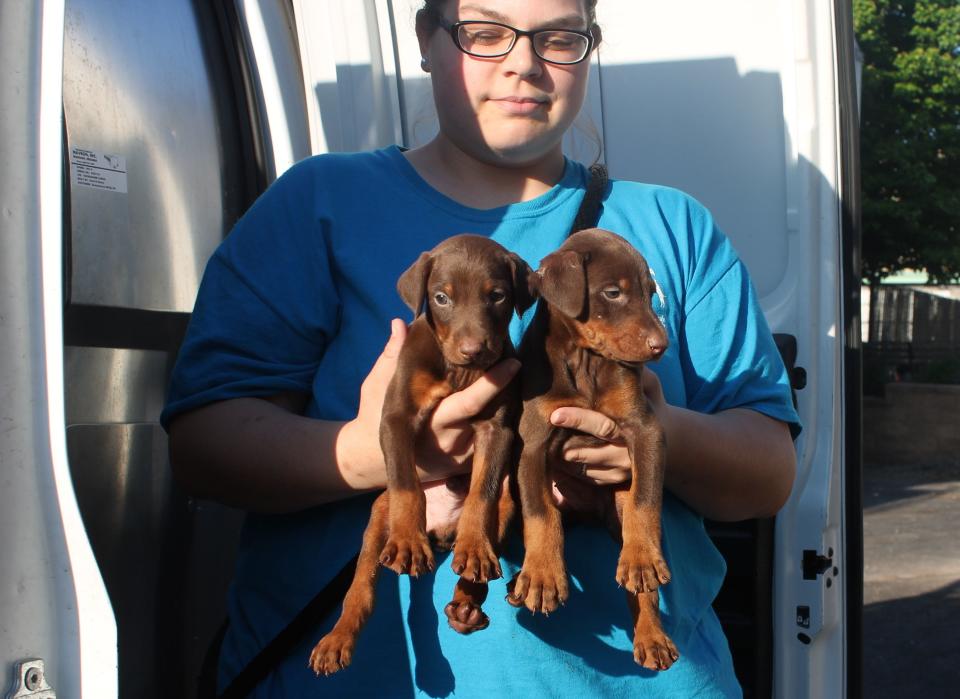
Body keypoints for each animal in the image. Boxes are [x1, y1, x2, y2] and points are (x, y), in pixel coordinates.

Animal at [308, 235, 532, 680]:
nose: (473, 350)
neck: (458, 373)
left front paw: (475, 548)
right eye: (441, 297)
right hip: (378, 520)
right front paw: (409, 542)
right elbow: (407, 483)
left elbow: (481, 492)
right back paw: (337, 638)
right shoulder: (396, 416)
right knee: (361, 589)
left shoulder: (497, 429)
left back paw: (466, 599)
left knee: (480, 550)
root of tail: (442, 532)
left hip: (506, 506)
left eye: (497, 296)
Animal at [506, 230, 680, 672]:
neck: (586, 361)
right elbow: (541, 514)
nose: (660, 346)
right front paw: (544, 575)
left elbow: (644, 502)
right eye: (613, 293)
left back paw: (652, 633)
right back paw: (519, 582)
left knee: (640, 578)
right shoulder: (533, 444)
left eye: (651, 293)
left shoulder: (646, 429)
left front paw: (641, 557)